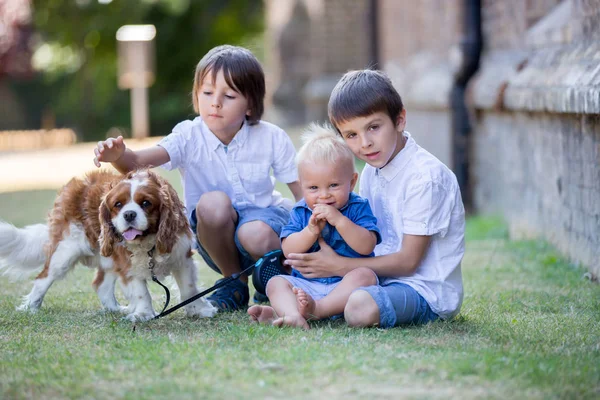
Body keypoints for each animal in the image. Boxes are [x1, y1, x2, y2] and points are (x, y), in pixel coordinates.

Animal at [0, 169, 218, 322]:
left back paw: (115, 309)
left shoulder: (181, 257)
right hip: (65, 252)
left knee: (101, 285)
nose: (129, 214)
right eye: (118, 205)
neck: (149, 242)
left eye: (146, 203)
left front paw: (198, 310)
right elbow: (142, 292)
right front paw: (143, 314)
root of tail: (73, 186)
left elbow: (189, 288)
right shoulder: (128, 265)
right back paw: (30, 308)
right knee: (43, 278)